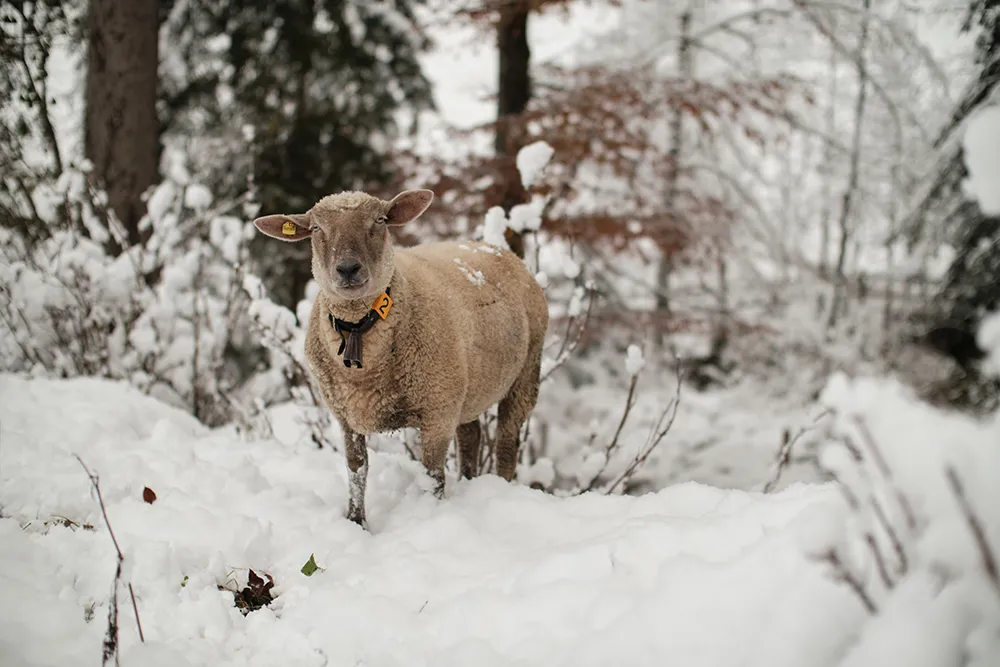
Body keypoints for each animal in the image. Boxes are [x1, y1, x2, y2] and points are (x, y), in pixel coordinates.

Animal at [252, 189, 549, 528]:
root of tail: (498, 249)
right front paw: (356, 521)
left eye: (380, 220)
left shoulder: (437, 412)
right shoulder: (346, 415)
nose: (348, 269)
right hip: (466, 388)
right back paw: (469, 481)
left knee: (506, 442)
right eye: (316, 228)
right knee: (470, 435)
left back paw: (502, 484)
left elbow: (432, 476)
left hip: (524, 374)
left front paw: (430, 516)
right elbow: (357, 470)